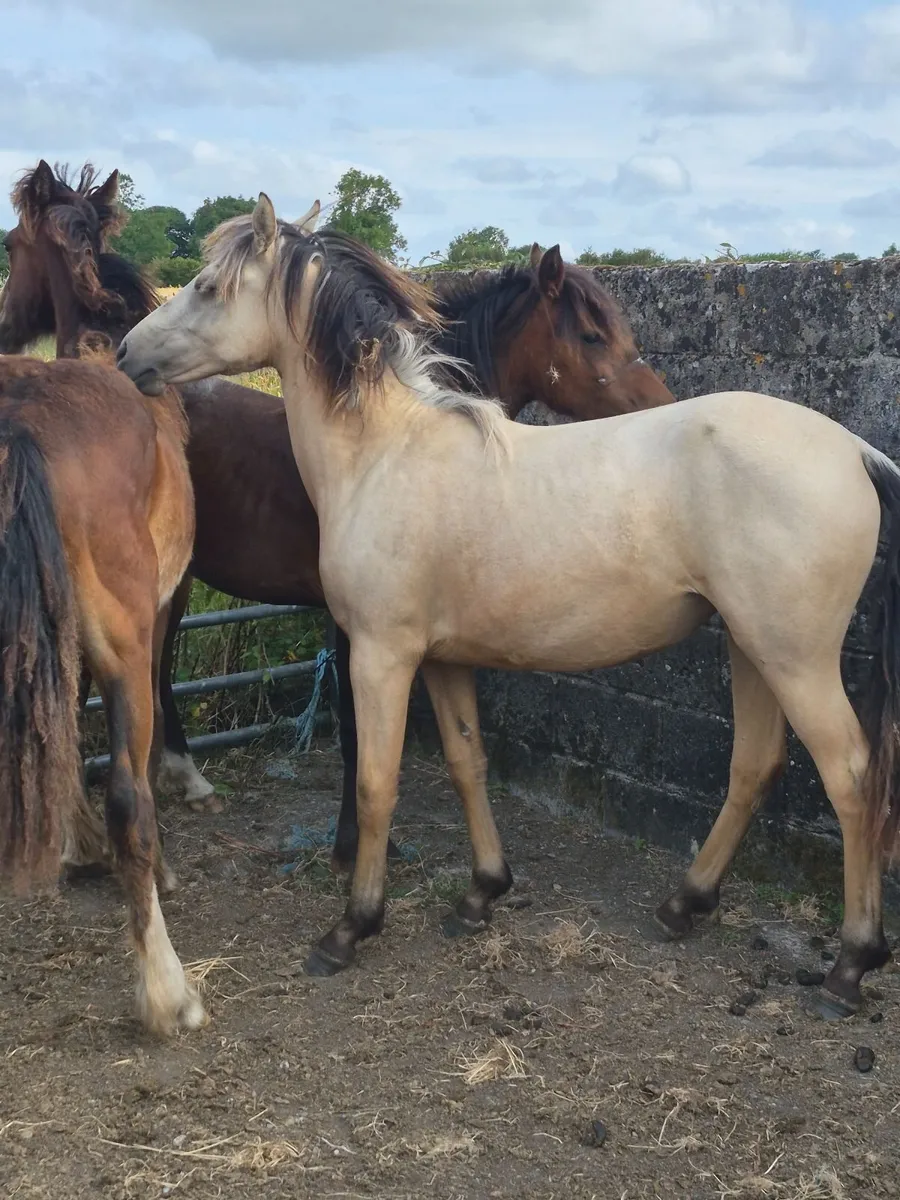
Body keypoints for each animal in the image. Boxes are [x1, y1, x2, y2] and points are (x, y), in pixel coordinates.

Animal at [0, 161, 674, 874]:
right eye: (593, 336)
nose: (659, 404)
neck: (395, 435)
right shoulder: (355, 626)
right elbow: (356, 734)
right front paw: (354, 845)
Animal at [118, 194, 900, 1023]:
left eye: (208, 287)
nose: (128, 354)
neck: (386, 453)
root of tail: (856, 452)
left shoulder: (382, 655)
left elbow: (375, 782)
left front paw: (352, 926)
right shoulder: (443, 660)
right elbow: (468, 763)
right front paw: (482, 893)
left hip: (795, 659)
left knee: (852, 777)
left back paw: (851, 963)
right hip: (751, 648)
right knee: (755, 765)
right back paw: (684, 905)